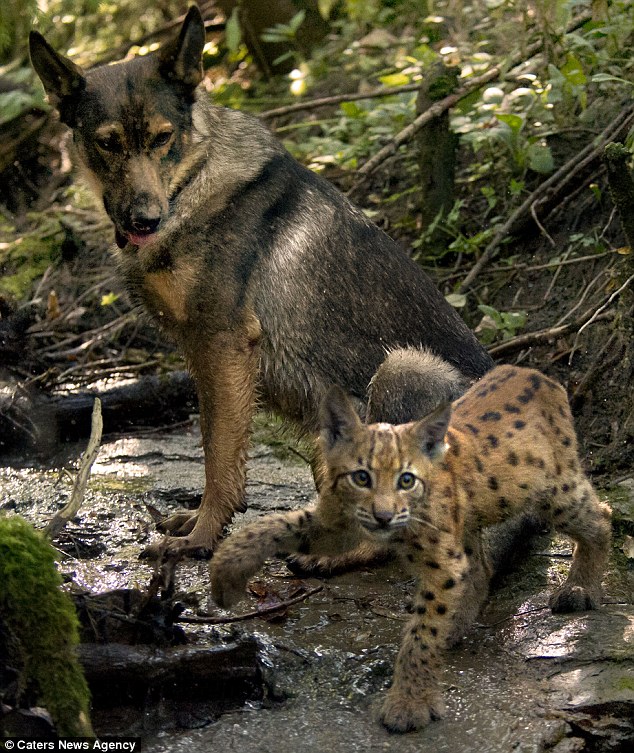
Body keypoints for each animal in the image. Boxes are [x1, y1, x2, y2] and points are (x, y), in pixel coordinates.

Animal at [29, 4, 492, 560]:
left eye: (163, 137)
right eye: (107, 144)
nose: (144, 220)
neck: (190, 184)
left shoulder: (225, 345)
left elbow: (219, 458)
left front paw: (202, 538)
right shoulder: (202, 352)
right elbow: (217, 443)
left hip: (401, 370)